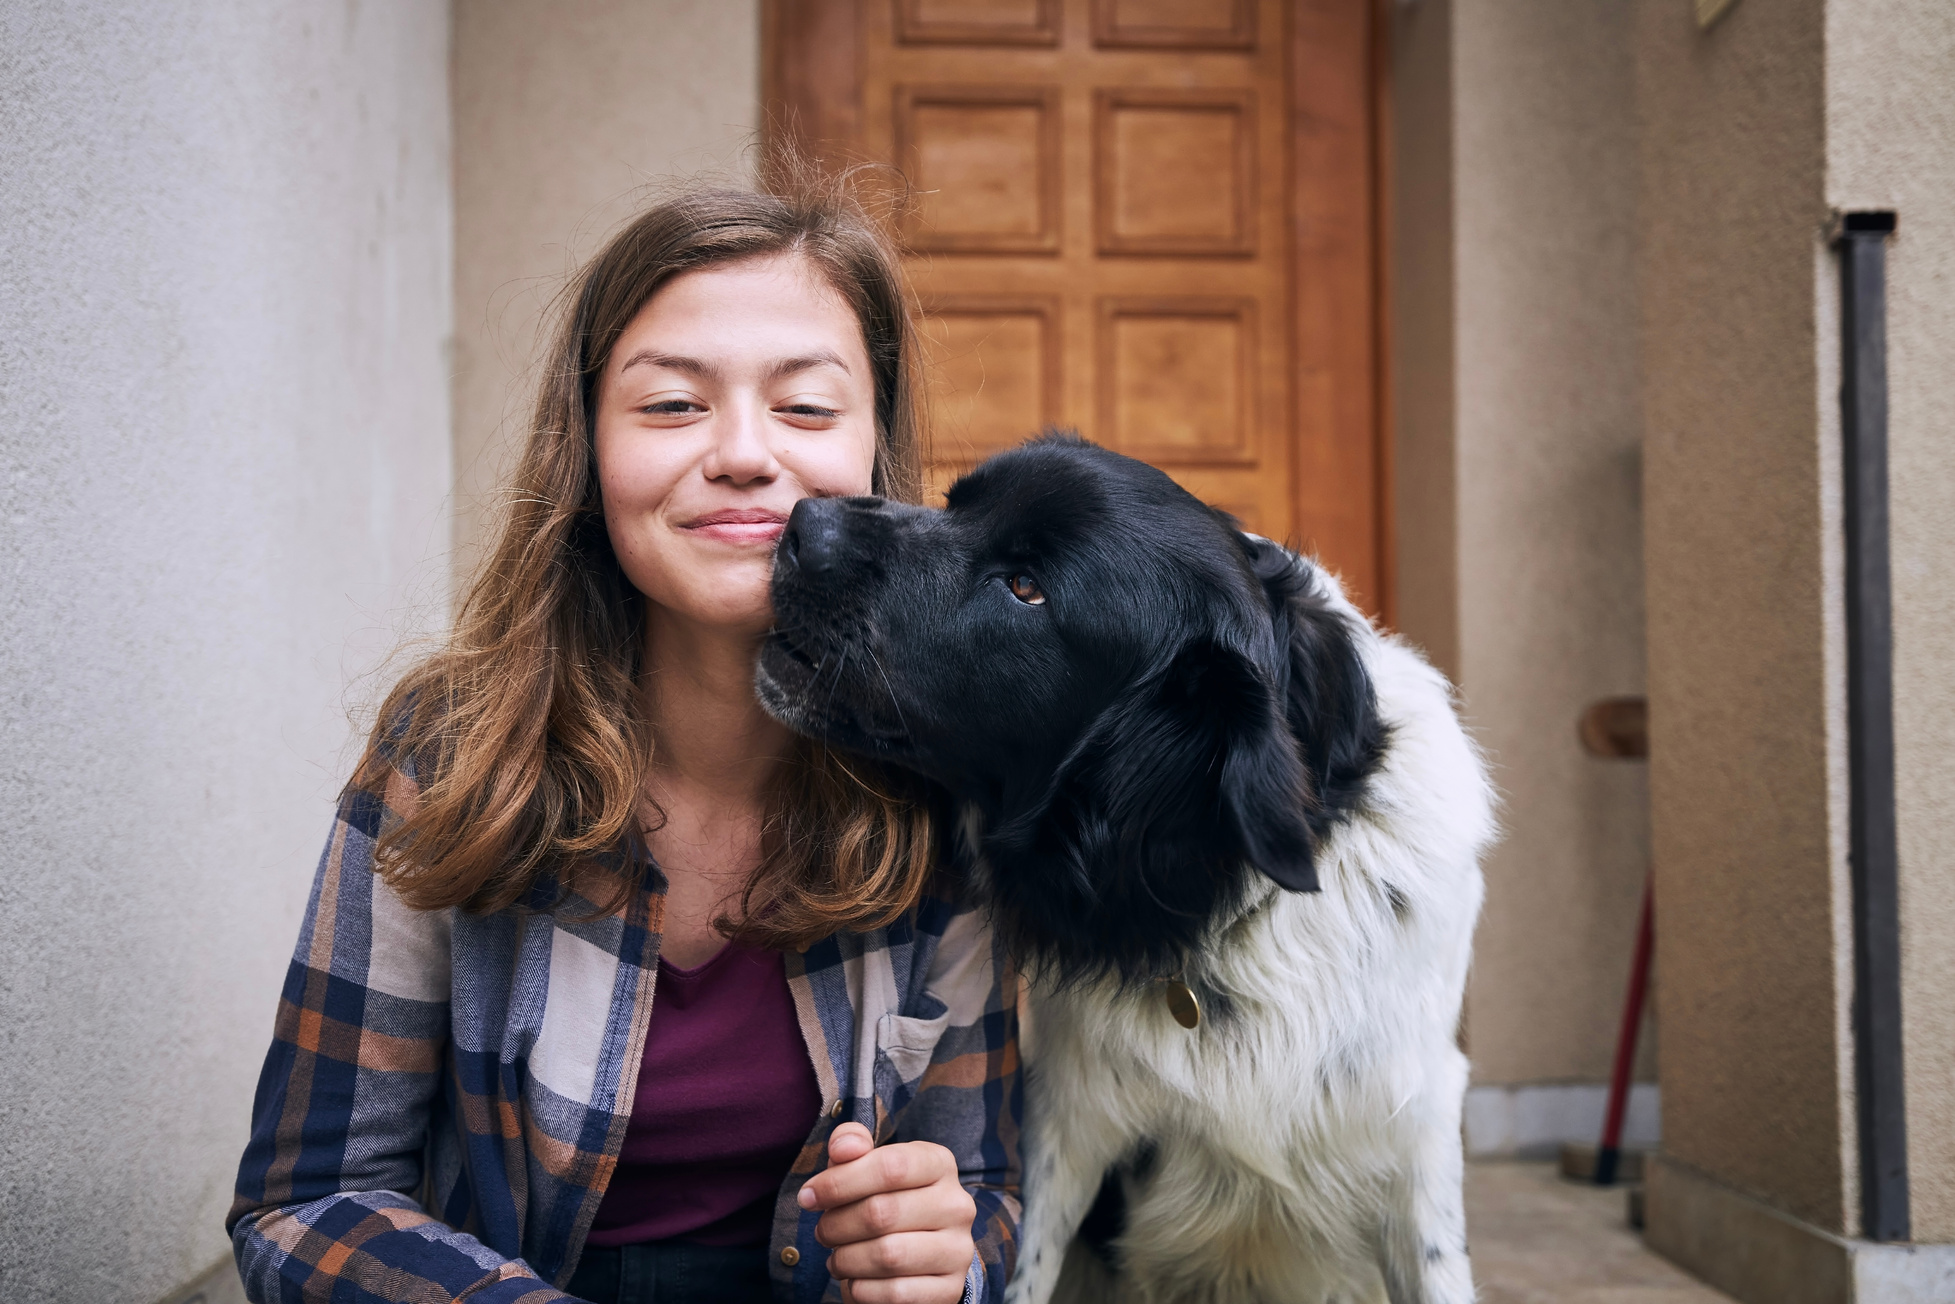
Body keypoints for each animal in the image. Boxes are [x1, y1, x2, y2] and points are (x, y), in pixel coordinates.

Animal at [754, 437, 1485, 1304]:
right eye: (958, 503)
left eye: (1026, 588)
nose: (803, 523)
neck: (1218, 902)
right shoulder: (1068, 1121)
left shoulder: (1415, 1127)